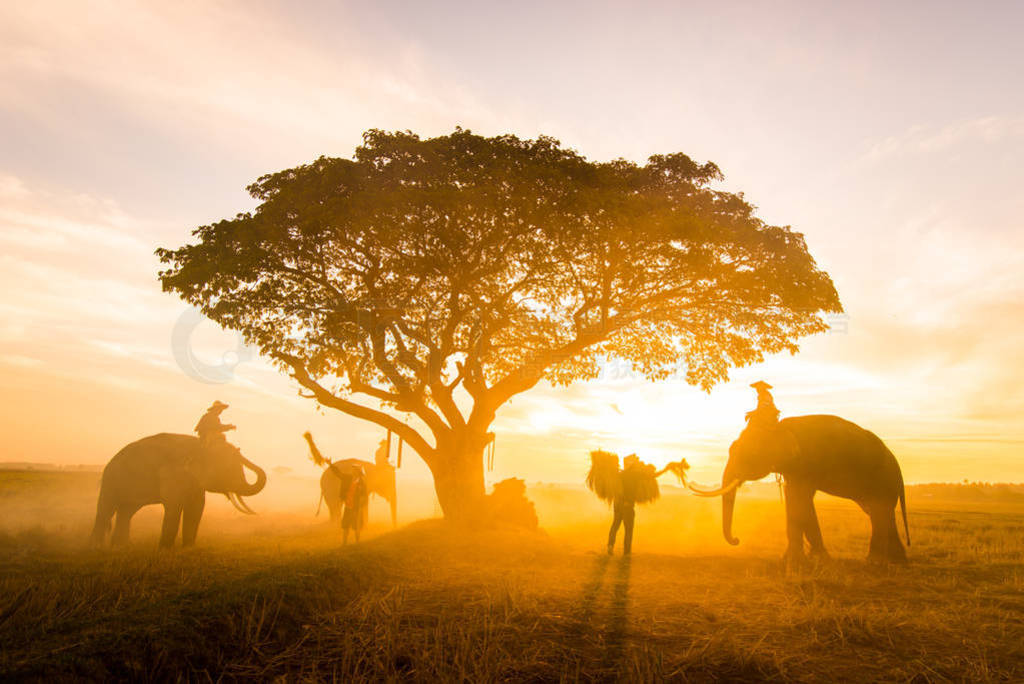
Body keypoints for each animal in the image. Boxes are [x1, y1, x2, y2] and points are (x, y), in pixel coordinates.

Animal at [91, 432, 268, 548]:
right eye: (228, 468)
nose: (238, 449)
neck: (200, 445)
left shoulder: (195, 483)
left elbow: (196, 508)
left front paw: (188, 547)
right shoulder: (172, 475)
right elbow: (174, 507)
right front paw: (165, 549)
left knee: (126, 512)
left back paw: (122, 546)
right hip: (111, 481)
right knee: (106, 510)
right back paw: (97, 547)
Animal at [692, 413, 909, 565]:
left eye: (750, 453)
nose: (737, 539)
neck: (778, 427)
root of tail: (898, 469)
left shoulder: (807, 463)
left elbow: (800, 498)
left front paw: (808, 560)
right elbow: (794, 497)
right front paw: (801, 559)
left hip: (881, 479)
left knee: (879, 512)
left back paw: (875, 561)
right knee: (879, 512)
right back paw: (897, 561)